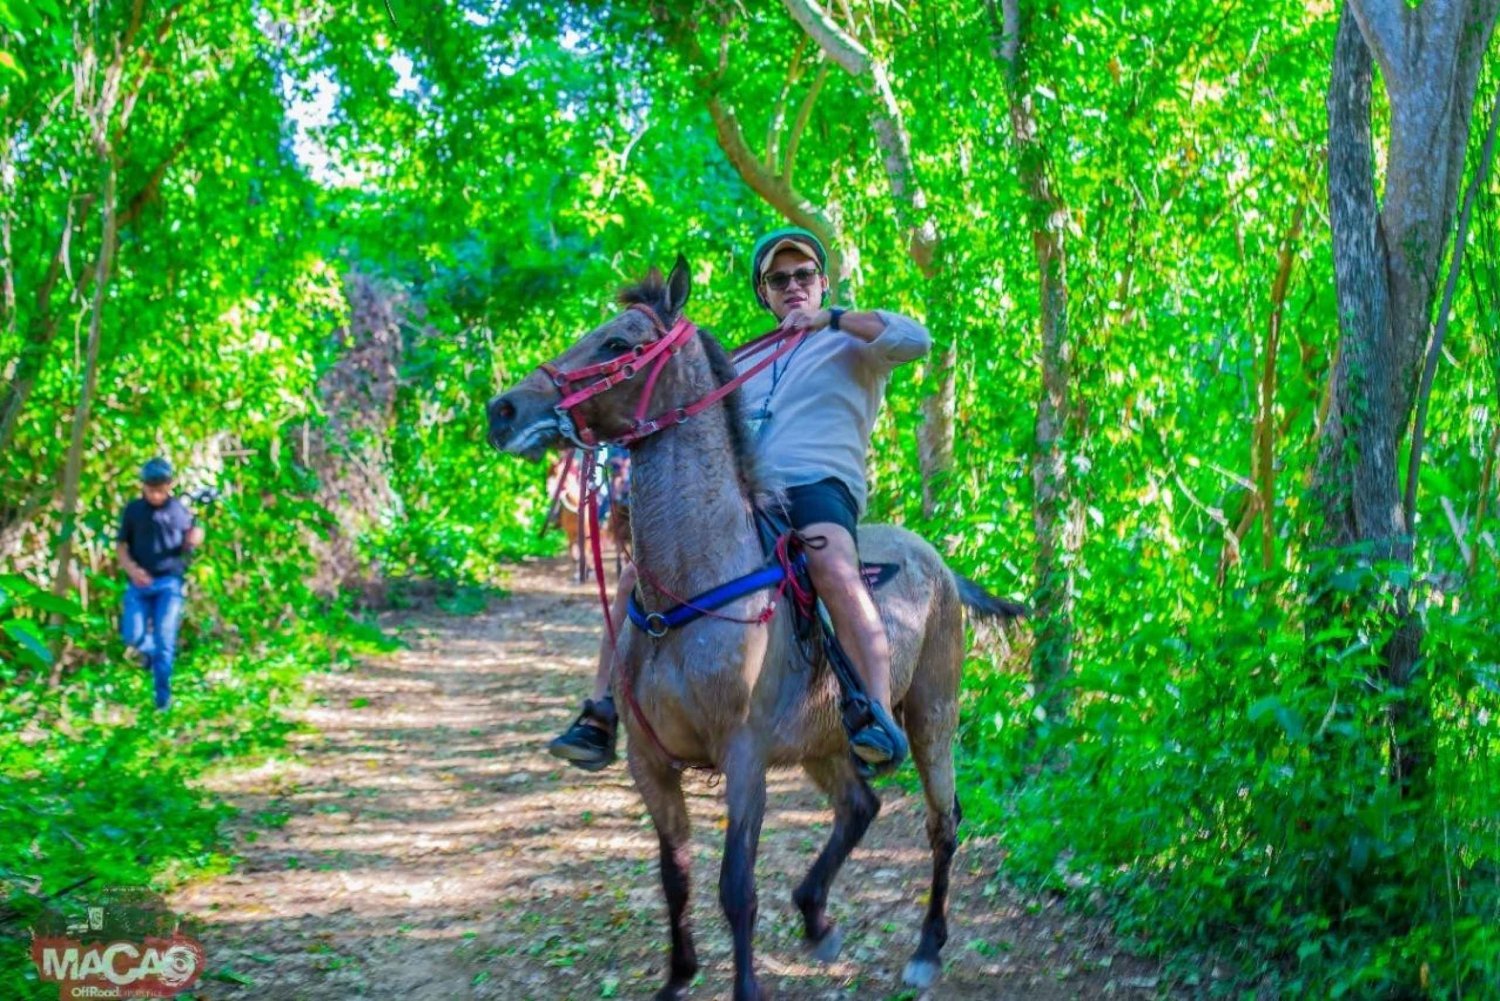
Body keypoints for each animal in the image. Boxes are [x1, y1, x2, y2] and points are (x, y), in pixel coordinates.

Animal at [486, 261, 1026, 1001]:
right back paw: (816, 916)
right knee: (859, 806)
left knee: (942, 823)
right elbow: (675, 874)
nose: (503, 410)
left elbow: (735, 887)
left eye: (618, 342)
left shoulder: (744, 758)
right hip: (823, 739)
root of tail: (941, 563)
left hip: (931, 715)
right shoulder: (649, 762)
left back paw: (925, 947)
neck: (694, 580)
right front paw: (677, 978)